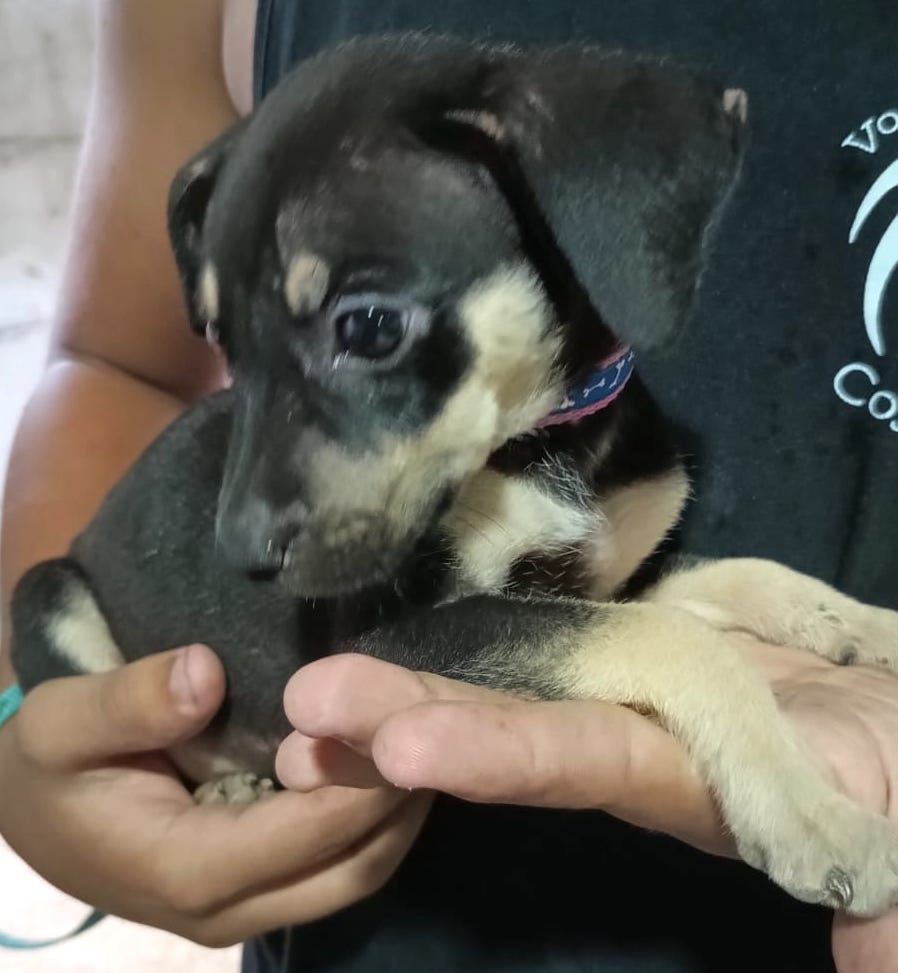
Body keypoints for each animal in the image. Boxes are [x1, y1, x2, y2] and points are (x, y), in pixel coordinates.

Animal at [10, 36, 896, 920]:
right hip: (49, 595)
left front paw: (869, 627)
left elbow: (749, 575)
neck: (546, 440)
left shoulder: (606, 579)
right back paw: (224, 784)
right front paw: (814, 814)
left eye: (370, 327)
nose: (240, 556)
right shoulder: (388, 636)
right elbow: (676, 639)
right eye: (220, 340)